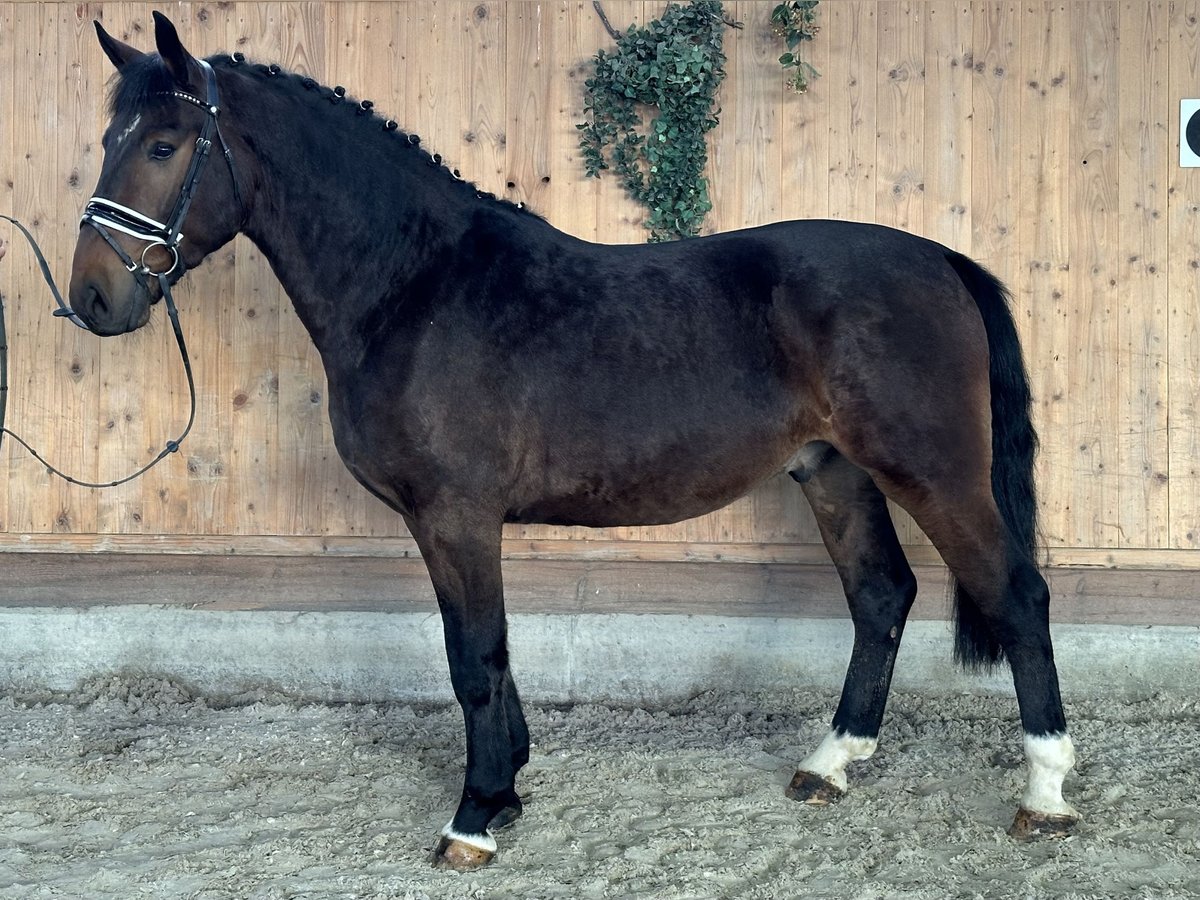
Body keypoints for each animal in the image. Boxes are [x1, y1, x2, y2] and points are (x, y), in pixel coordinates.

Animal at [65, 14, 1080, 868]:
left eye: (162, 145)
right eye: (111, 142)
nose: (92, 300)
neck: (414, 284)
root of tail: (940, 259)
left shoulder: (456, 515)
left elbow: (475, 658)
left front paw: (474, 817)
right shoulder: (449, 523)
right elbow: (487, 651)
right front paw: (509, 786)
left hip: (935, 472)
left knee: (1016, 593)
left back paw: (1044, 794)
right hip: (833, 471)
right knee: (881, 594)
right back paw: (830, 763)